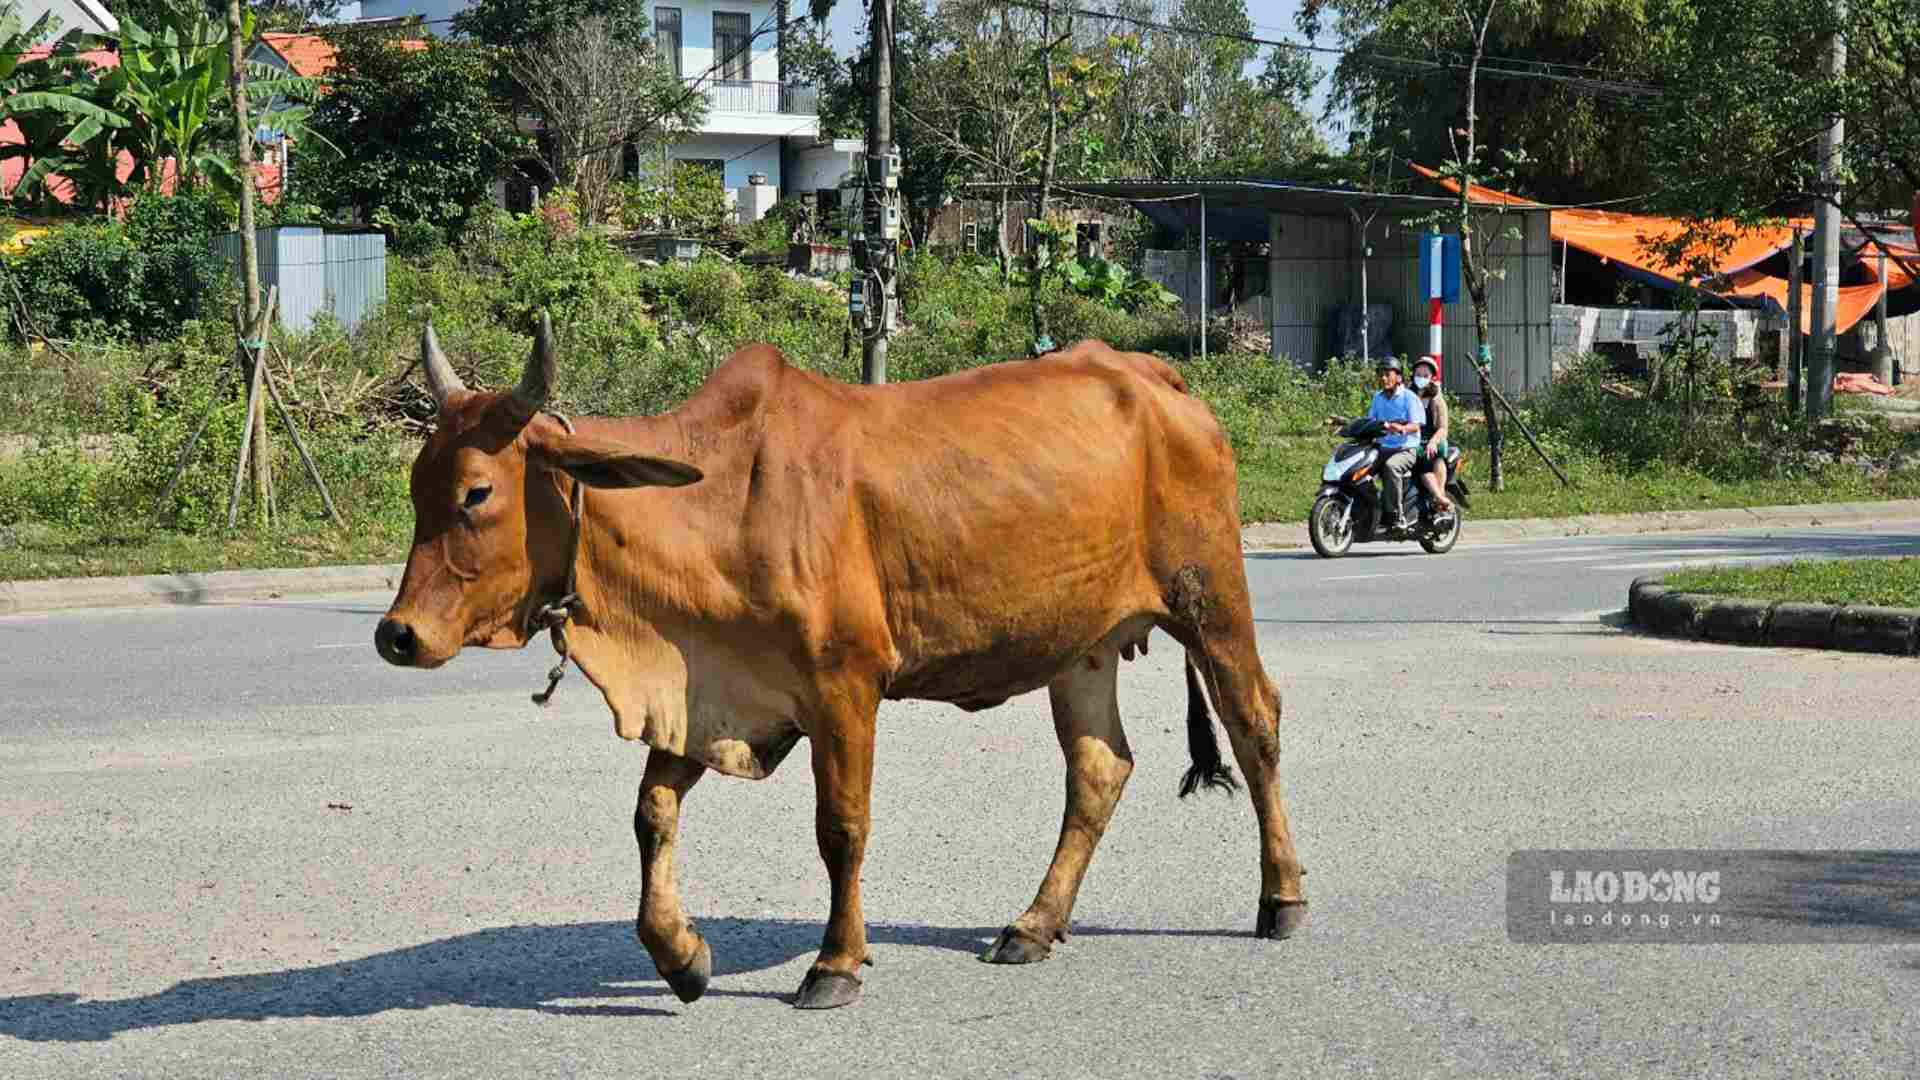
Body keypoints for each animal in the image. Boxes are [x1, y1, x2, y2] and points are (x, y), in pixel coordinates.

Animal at [374, 315, 1305, 1006]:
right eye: (416, 488)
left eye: (477, 494)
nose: (397, 636)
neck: (717, 505)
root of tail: (1155, 378)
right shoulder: (715, 696)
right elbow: (651, 813)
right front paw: (680, 956)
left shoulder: (843, 689)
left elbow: (842, 829)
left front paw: (835, 964)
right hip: (1081, 647)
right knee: (1099, 768)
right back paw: (1034, 925)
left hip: (1210, 596)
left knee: (1254, 723)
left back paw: (1281, 898)